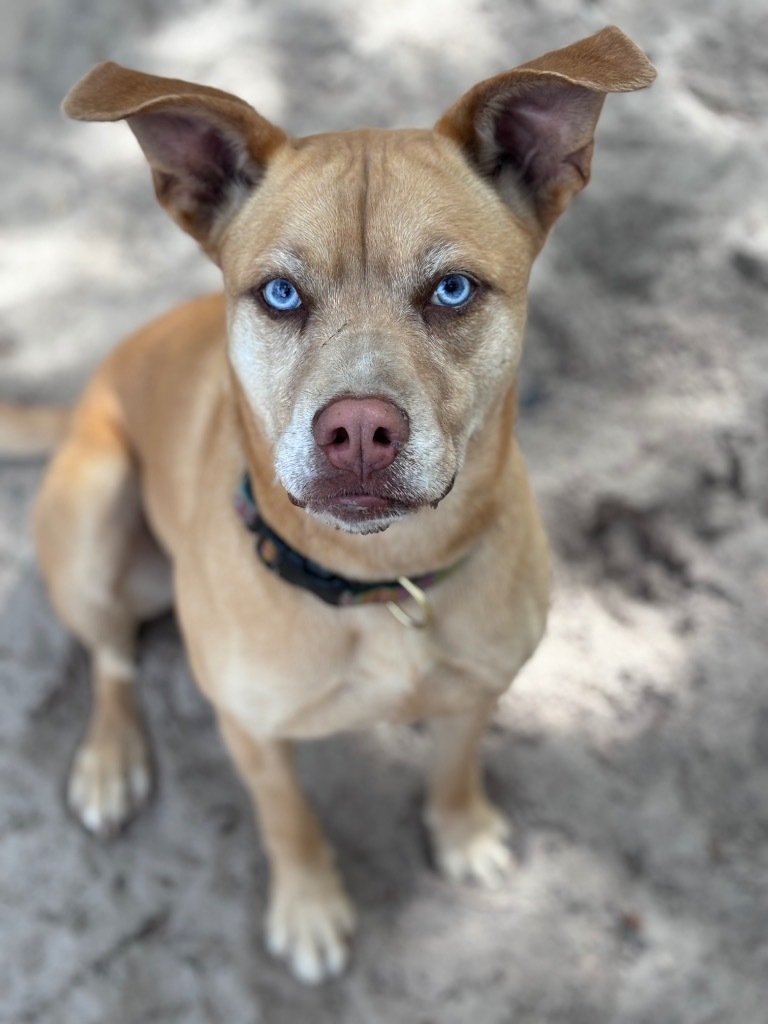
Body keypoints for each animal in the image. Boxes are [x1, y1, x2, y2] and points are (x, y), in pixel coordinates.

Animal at [12, 25, 655, 983]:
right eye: (280, 294)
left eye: (453, 289)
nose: (357, 430)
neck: (381, 581)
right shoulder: (252, 731)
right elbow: (289, 821)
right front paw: (310, 909)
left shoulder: (480, 688)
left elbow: (456, 766)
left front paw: (462, 833)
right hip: (94, 516)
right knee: (111, 656)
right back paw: (109, 759)